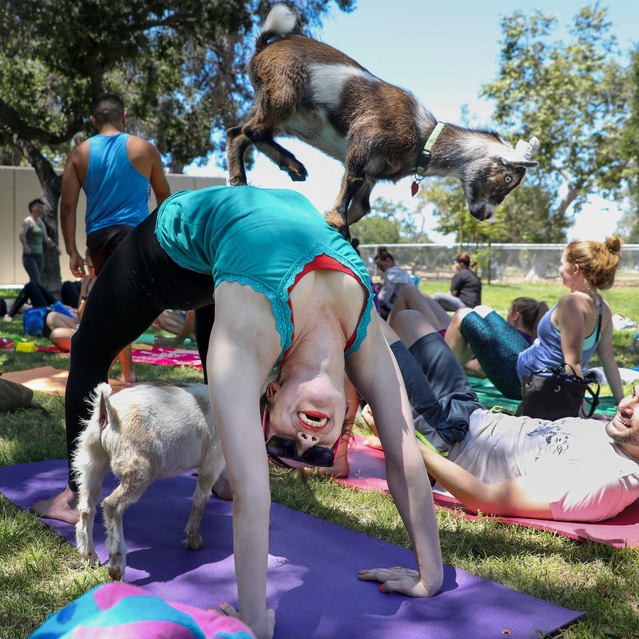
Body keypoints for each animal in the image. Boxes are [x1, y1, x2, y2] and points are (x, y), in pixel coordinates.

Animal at [73, 382, 228, 584]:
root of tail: (108, 411)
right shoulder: (214, 459)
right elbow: (201, 498)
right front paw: (194, 540)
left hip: (92, 461)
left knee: (86, 508)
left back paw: (89, 556)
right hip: (139, 468)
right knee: (111, 505)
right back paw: (116, 565)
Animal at [229, 4, 540, 240]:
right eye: (508, 177)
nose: (486, 215)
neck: (423, 137)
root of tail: (264, 45)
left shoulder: (373, 173)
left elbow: (362, 207)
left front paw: (337, 227)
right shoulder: (366, 139)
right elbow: (351, 181)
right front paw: (336, 221)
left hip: (282, 115)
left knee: (239, 132)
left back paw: (242, 181)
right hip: (283, 95)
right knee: (253, 130)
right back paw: (293, 165)